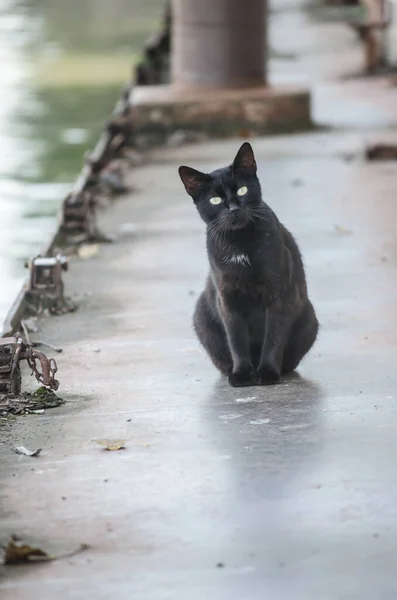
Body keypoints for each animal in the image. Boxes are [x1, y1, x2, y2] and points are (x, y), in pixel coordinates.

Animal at [178, 142, 318, 386]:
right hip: (202, 317)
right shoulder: (228, 299)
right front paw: (242, 374)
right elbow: (236, 339)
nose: (234, 209)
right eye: (215, 200)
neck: (239, 244)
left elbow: (273, 337)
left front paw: (267, 373)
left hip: (309, 318)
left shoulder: (279, 296)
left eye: (242, 190)